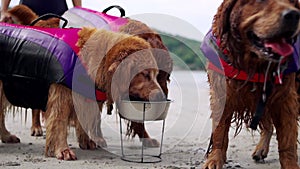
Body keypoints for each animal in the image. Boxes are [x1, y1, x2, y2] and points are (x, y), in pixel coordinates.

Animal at [202, 0, 300, 169]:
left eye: (293, 2)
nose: (294, 15)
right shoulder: (222, 93)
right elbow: (220, 132)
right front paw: (215, 159)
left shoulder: (285, 98)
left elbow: (288, 142)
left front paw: (291, 164)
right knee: (268, 125)